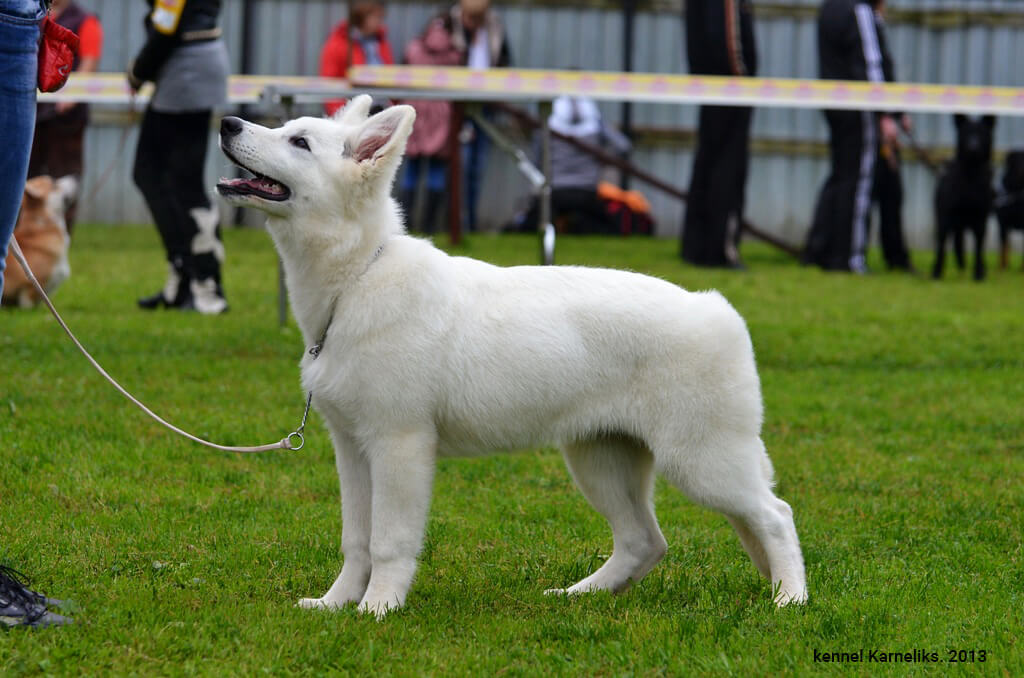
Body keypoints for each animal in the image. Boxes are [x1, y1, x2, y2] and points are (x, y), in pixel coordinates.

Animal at [218, 96, 806, 622]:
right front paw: (336, 604)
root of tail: (718, 309)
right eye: (288, 129)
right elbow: (355, 539)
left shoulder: (397, 445)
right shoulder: (352, 449)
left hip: (702, 462)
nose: (227, 122)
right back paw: (581, 595)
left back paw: (789, 601)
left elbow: (387, 540)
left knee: (775, 515)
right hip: (600, 461)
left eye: (299, 142)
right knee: (645, 541)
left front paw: (378, 608)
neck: (359, 278)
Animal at [933, 115, 995, 280]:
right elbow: (942, 247)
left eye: (981, 133)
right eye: (966, 133)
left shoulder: (981, 219)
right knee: (946, 243)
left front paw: (979, 274)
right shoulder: (946, 217)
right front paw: (937, 272)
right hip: (946, 220)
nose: (973, 147)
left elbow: (978, 249)